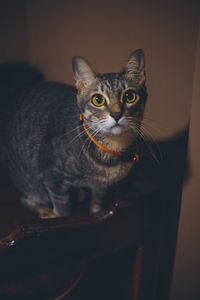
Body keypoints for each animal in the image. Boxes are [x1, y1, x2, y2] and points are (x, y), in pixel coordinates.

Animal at [0, 49, 147, 218]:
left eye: (129, 96)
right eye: (98, 99)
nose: (116, 114)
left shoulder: (101, 186)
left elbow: (97, 202)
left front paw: (95, 211)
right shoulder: (53, 177)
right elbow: (63, 209)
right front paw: (60, 216)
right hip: (32, 185)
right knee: (28, 198)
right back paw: (45, 211)